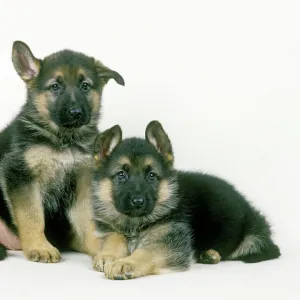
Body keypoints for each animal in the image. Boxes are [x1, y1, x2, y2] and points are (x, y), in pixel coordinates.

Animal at [90, 120, 280, 280]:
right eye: (121, 175)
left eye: (151, 176)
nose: (138, 201)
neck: (134, 224)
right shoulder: (110, 230)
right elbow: (114, 237)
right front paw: (108, 255)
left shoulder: (169, 243)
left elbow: (145, 252)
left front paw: (126, 263)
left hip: (247, 234)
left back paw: (212, 254)